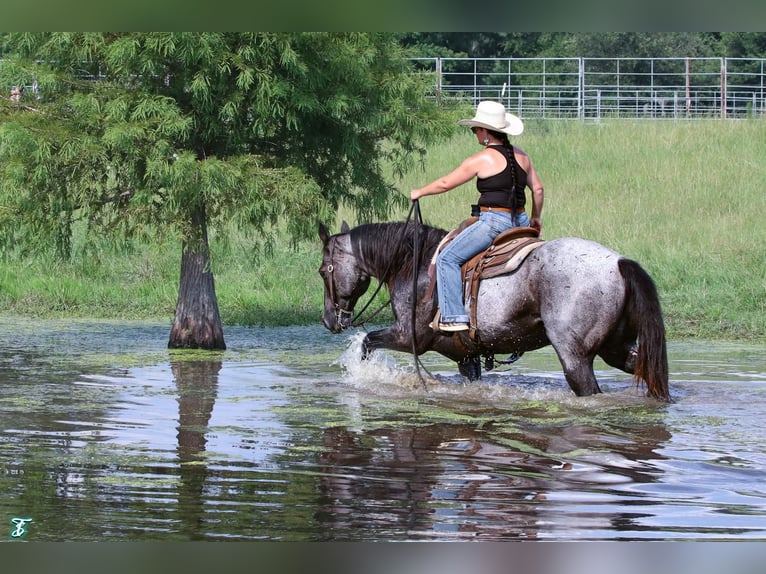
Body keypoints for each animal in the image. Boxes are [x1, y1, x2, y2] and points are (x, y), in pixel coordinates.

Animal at [318, 222, 672, 404]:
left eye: (323, 271)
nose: (328, 320)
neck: (412, 264)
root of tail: (618, 262)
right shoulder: (465, 356)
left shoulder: (408, 335)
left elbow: (367, 342)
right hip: (616, 348)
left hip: (576, 358)